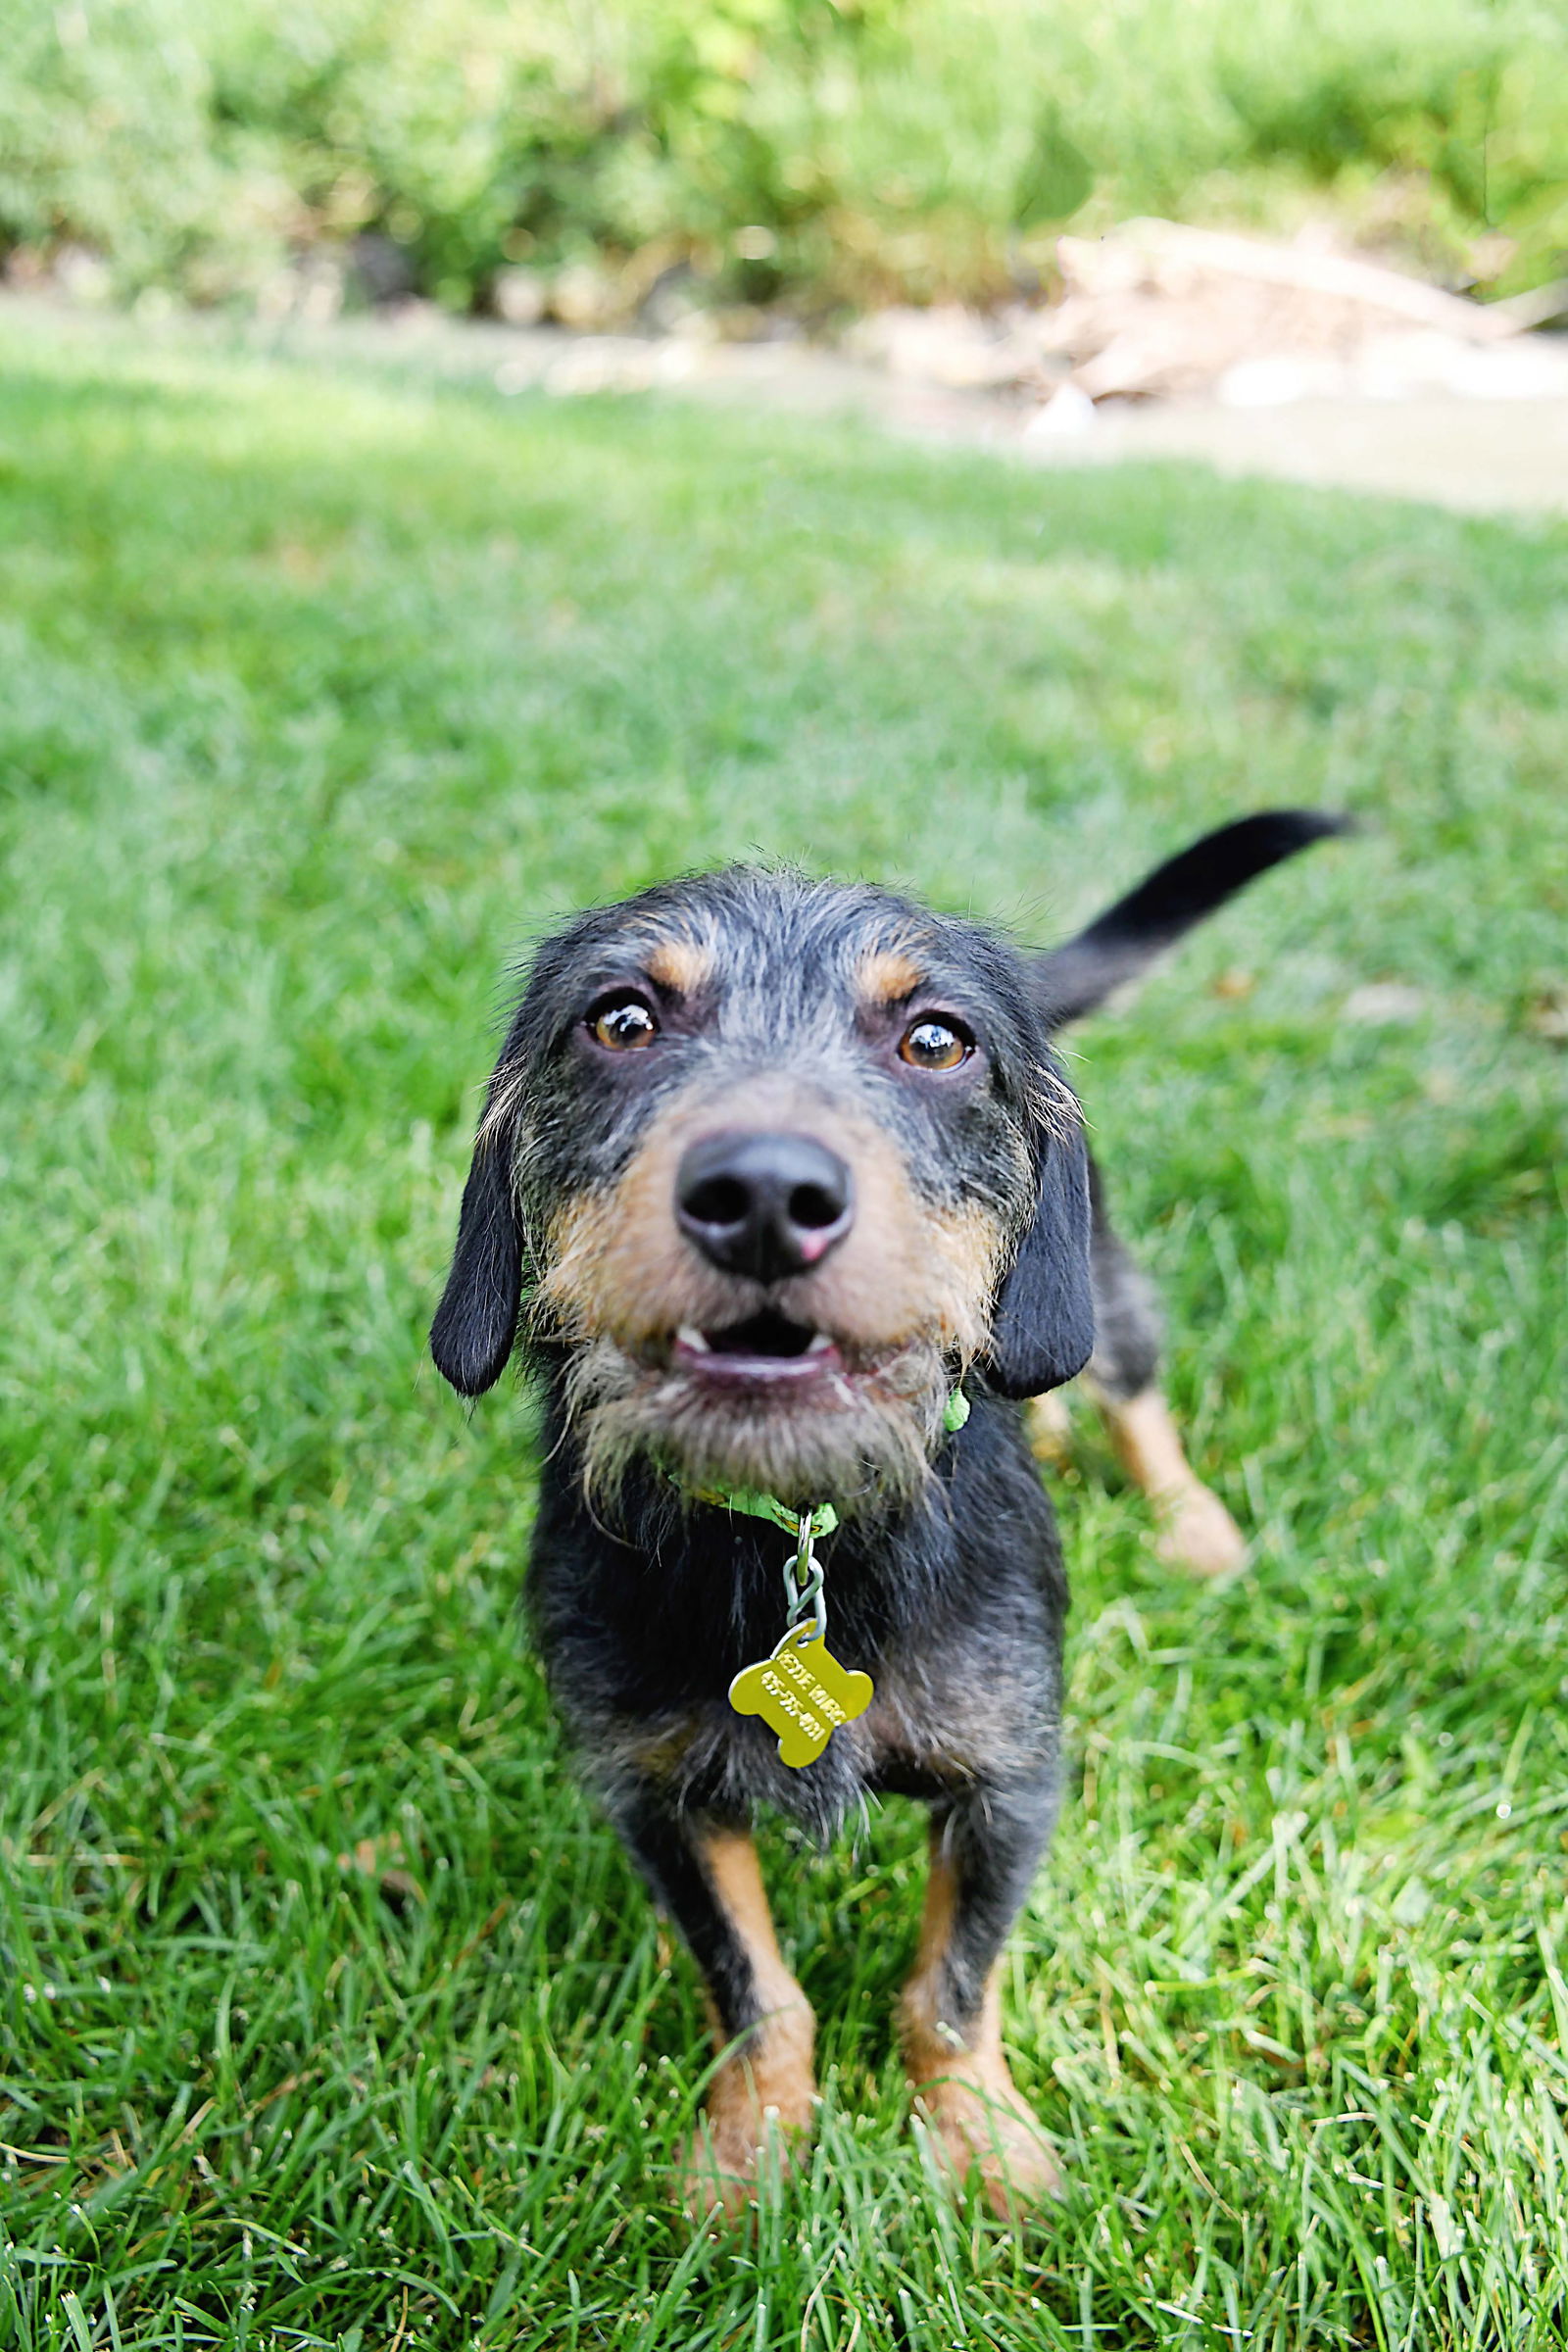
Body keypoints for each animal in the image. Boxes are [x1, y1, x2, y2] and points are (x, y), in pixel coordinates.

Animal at [429, 808, 1353, 2220]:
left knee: (1132, 1385)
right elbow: (753, 1985)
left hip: (1102, 1283)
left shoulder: (1010, 1778)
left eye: (935, 1040)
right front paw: (752, 2148)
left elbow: (950, 1989)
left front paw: (982, 2143)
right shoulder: (653, 1794)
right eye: (620, 1020)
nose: (763, 1193)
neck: (801, 1533)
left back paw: (1190, 1523)